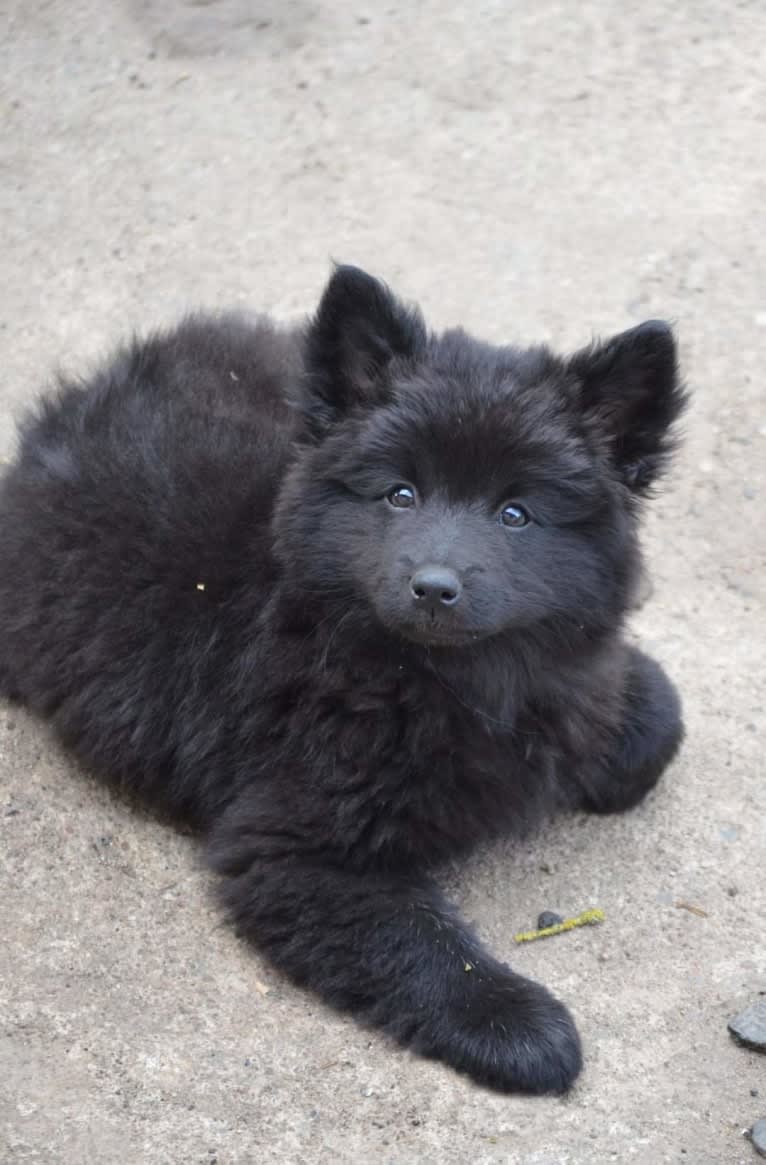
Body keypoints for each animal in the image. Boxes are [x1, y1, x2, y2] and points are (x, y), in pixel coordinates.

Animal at [0, 267, 684, 1095]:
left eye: (516, 513)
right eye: (400, 494)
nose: (434, 586)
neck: (444, 680)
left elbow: (656, 719)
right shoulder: (299, 848)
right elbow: (420, 945)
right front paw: (518, 1024)